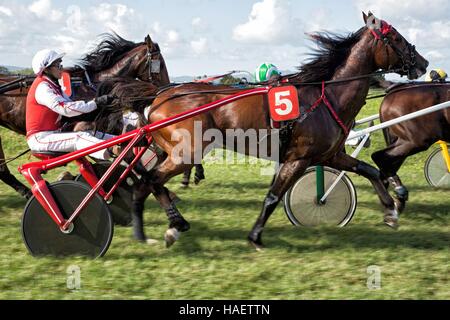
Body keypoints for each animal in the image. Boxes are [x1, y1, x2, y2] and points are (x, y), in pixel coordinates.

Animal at [104, 11, 426, 250]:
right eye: (396, 37)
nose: (423, 63)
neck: (326, 96)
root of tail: (160, 95)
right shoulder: (298, 159)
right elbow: (272, 196)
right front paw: (255, 236)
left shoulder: (329, 155)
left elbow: (370, 170)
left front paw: (391, 211)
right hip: (186, 153)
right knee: (150, 180)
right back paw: (151, 230)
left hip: (171, 151)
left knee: (148, 181)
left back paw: (169, 225)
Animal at [370, 81, 448, 209]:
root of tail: (391, 94)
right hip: (418, 140)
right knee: (379, 157)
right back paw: (398, 191)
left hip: (403, 140)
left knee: (387, 162)